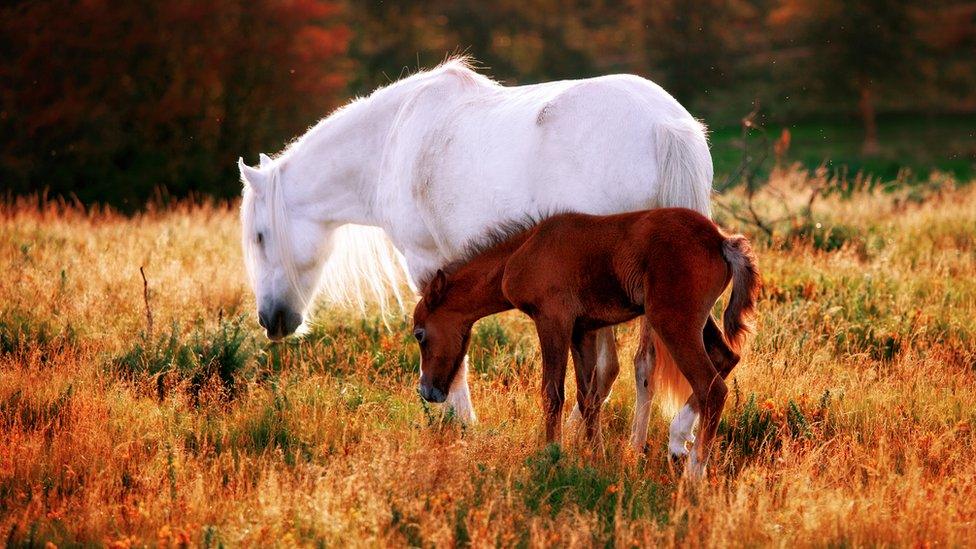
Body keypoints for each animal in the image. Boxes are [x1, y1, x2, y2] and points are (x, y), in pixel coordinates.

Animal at [236, 58, 708, 458]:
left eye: (259, 236)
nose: (270, 321)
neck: (392, 140)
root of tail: (663, 125)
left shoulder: (428, 266)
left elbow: (449, 343)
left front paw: (458, 422)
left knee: (619, 368)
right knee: (641, 366)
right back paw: (646, 442)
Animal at [412, 208, 764, 478]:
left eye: (419, 334)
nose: (427, 391)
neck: (523, 250)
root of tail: (721, 240)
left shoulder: (553, 320)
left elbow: (552, 393)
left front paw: (551, 455)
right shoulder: (584, 330)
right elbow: (589, 397)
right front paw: (596, 457)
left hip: (672, 322)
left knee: (712, 388)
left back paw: (693, 471)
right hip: (696, 321)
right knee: (726, 358)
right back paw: (679, 439)